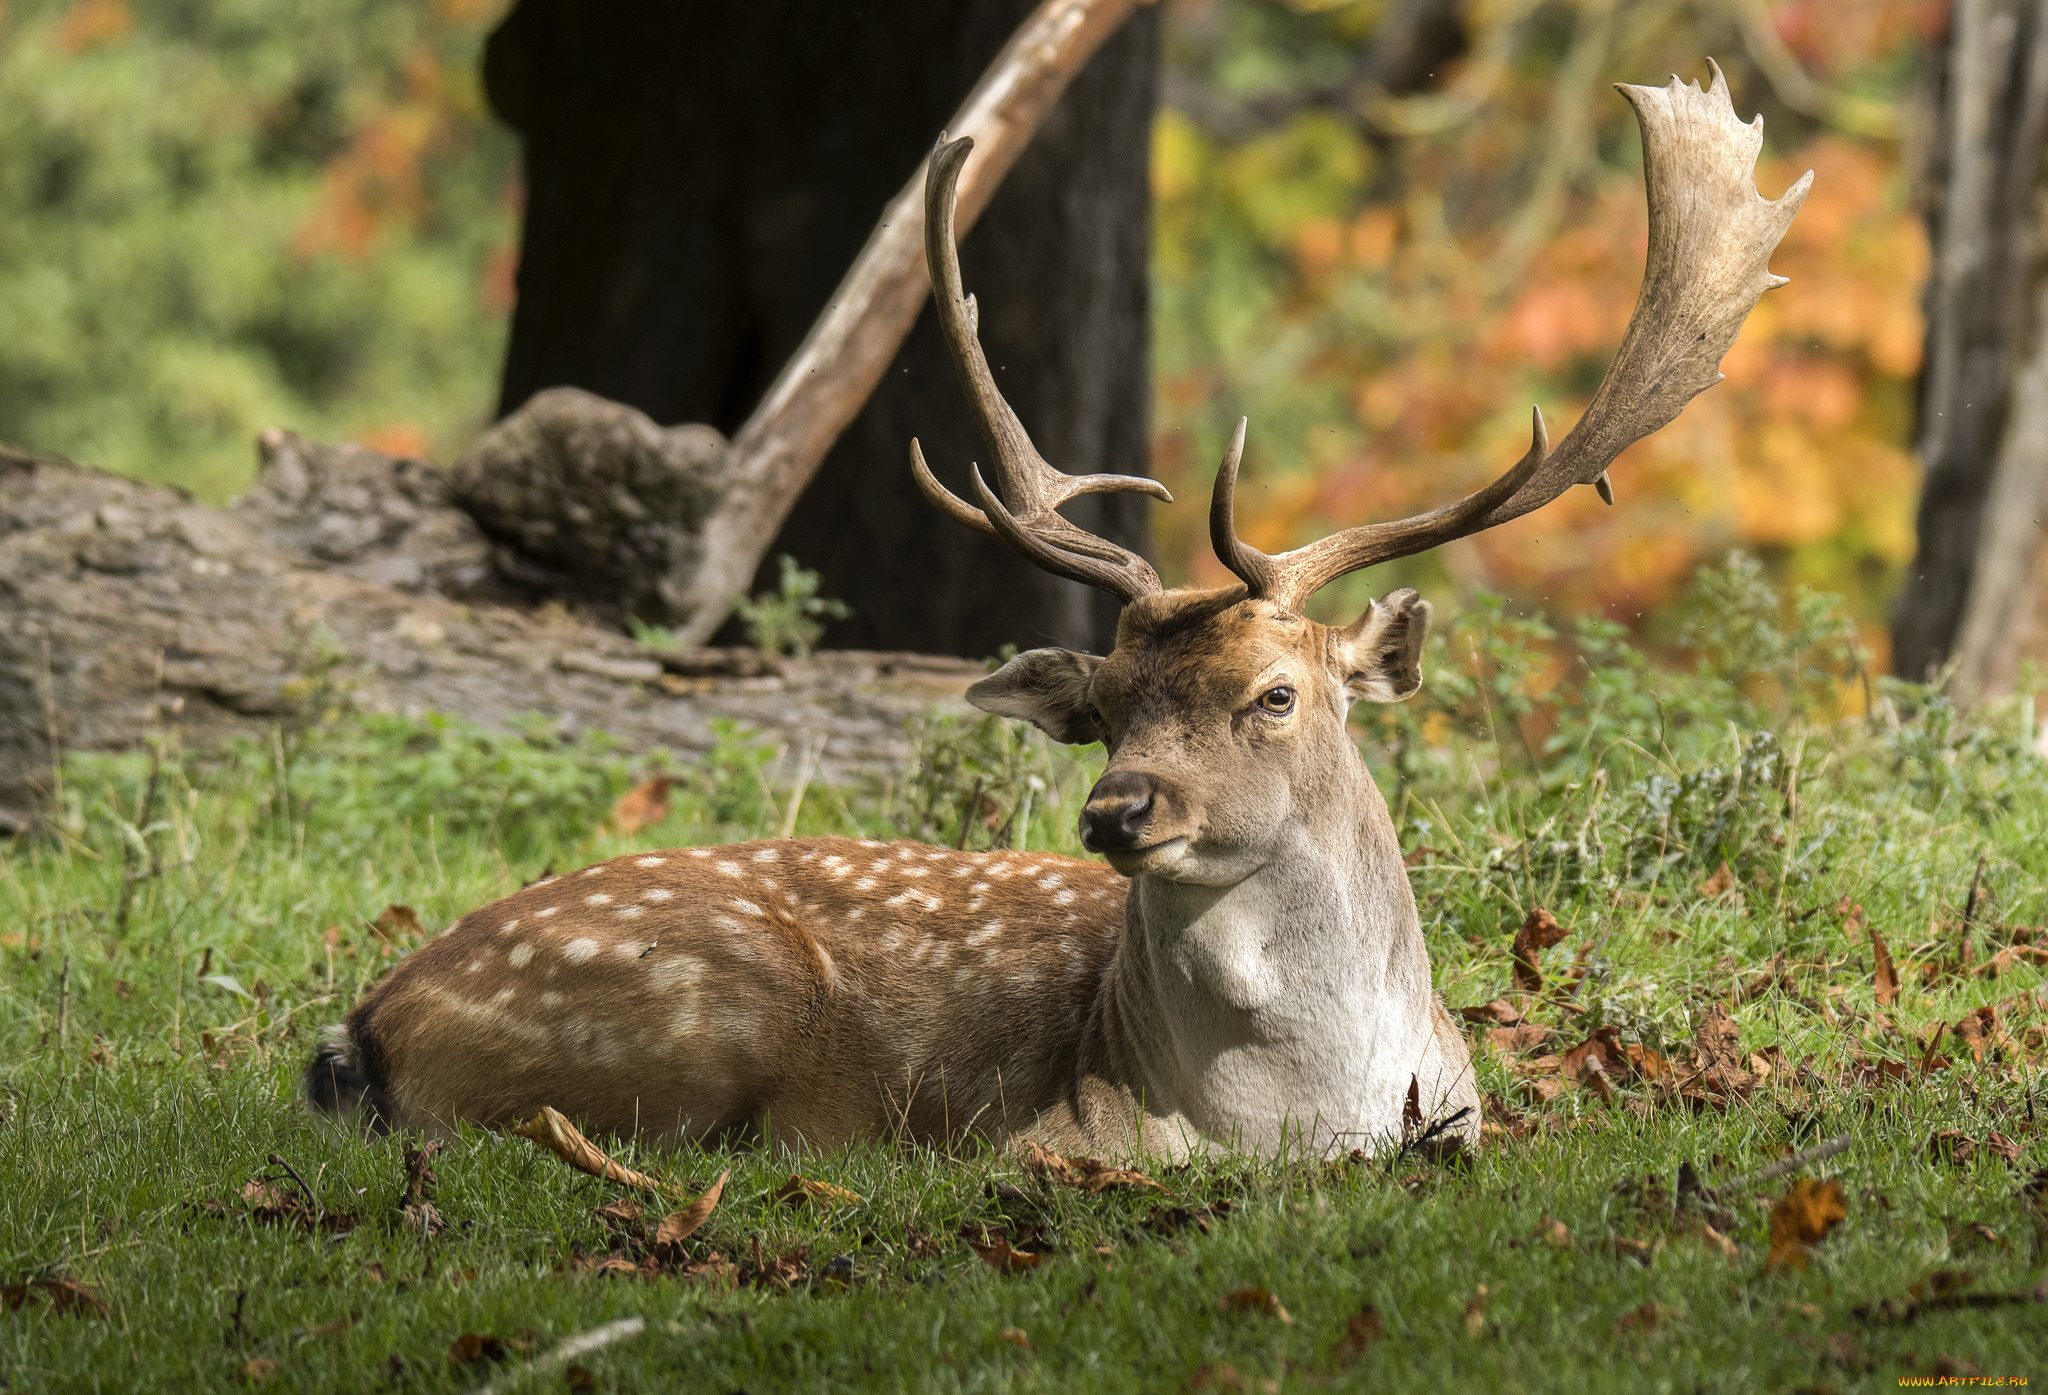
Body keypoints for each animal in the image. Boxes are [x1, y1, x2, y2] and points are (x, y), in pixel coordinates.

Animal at [303, 62, 1810, 1155]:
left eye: (1276, 693)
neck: (1311, 1123)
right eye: (1106, 707)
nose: (1118, 810)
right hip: (690, 1007)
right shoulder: (1046, 1143)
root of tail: (369, 1019)